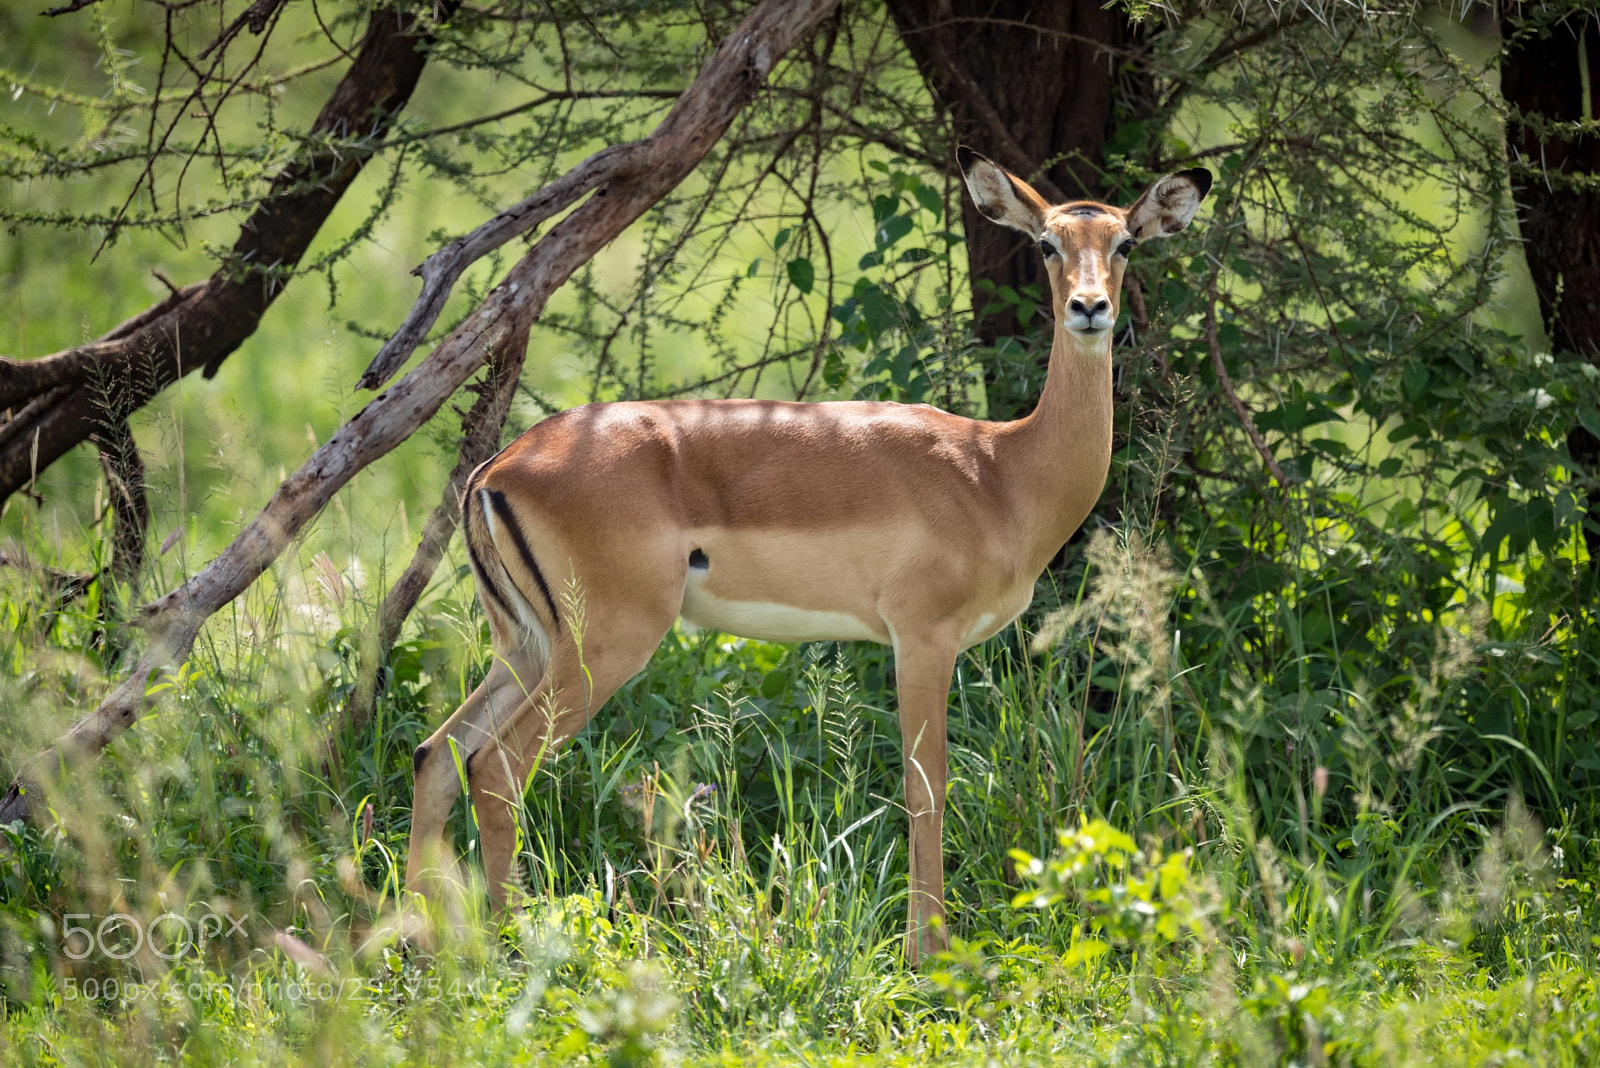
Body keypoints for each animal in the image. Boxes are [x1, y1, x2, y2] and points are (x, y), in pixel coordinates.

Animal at [406, 147, 1211, 962]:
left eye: (1125, 243)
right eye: (1047, 243)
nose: (1089, 307)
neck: (1001, 472)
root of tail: (498, 468)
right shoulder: (922, 638)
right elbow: (927, 786)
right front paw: (928, 951)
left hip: (527, 645)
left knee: (438, 754)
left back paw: (415, 937)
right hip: (604, 644)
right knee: (496, 767)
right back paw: (508, 942)